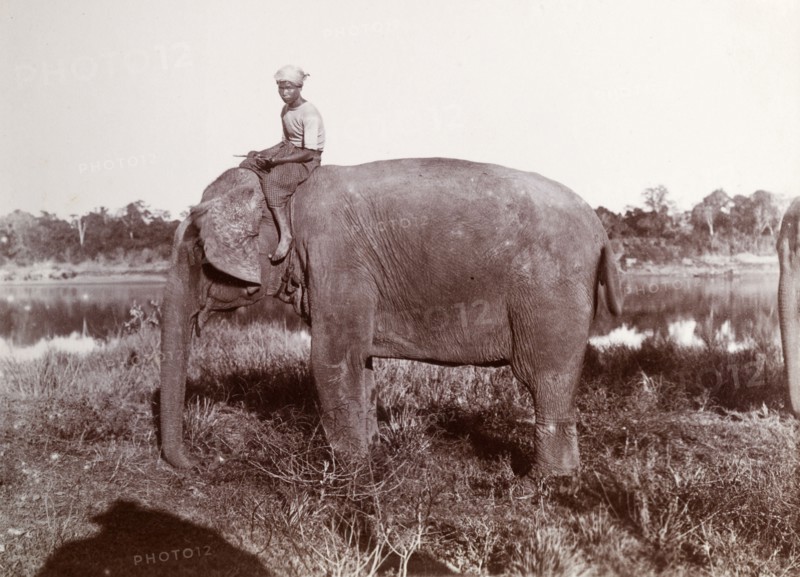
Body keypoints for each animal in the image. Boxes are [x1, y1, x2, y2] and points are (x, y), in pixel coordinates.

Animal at [159, 157, 623, 476]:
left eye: (197, 251)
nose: (200, 464)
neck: (288, 190)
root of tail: (600, 229)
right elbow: (358, 362)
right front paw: (371, 456)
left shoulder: (337, 262)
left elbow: (330, 359)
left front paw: (349, 474)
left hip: (549, 294)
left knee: (546, 378)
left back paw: (544, 481)